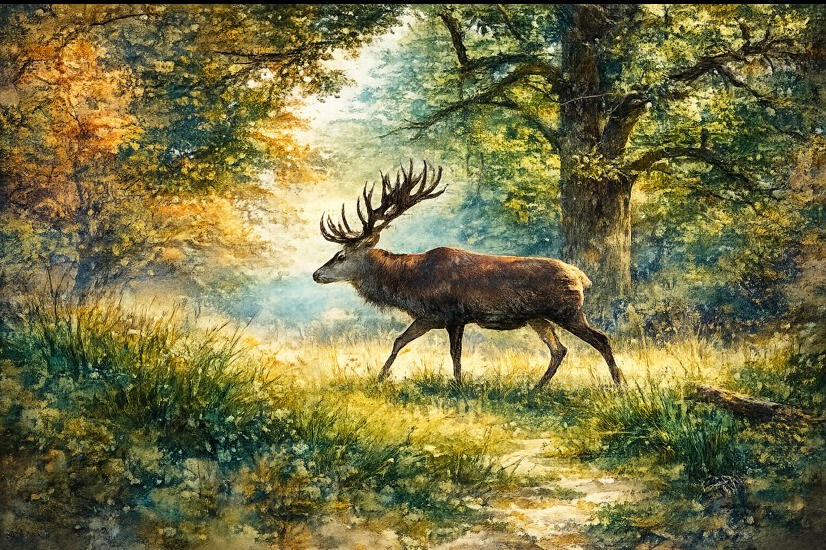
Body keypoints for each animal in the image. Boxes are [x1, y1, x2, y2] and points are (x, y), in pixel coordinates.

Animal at [312, 160, 625, 389]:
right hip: (538, 318)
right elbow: (399, 340)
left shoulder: (454, 314)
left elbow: (455, 352)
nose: (316, 274)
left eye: (341, 256)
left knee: (600, 339)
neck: (412, 285)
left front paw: (459, 385)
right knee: (559, 349)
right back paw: (536, 388)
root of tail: (582, 278)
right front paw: (379, 377)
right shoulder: (428, 317)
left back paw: (619, 384)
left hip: (568, 311)